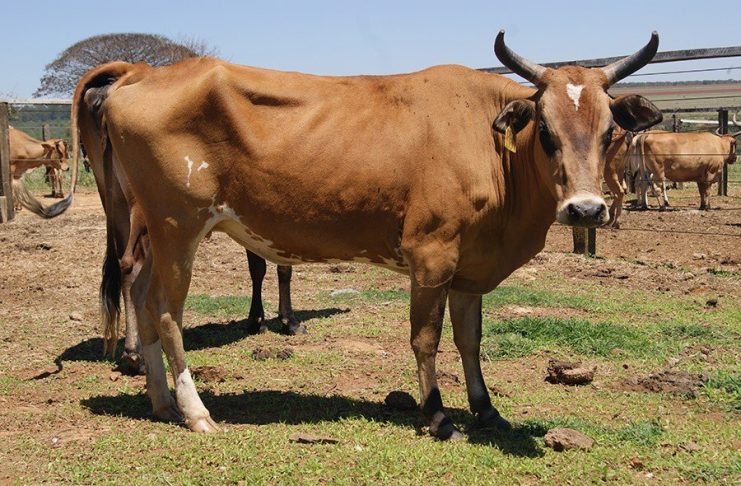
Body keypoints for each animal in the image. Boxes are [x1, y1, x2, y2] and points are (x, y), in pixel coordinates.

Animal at [26, 31, 662, 438]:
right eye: (547, 132)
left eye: (610, 131)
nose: (585, 209)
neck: (486, 141)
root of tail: (143, 71)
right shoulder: (431, 255)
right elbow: (426, 339)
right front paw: (437, 415)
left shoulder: (470, 269)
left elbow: (471, 341)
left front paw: (486, 410)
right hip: (176, 225)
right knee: (164, 310)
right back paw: (195, 410)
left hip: (156, 230)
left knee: (137, 290)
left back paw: (159, 401)